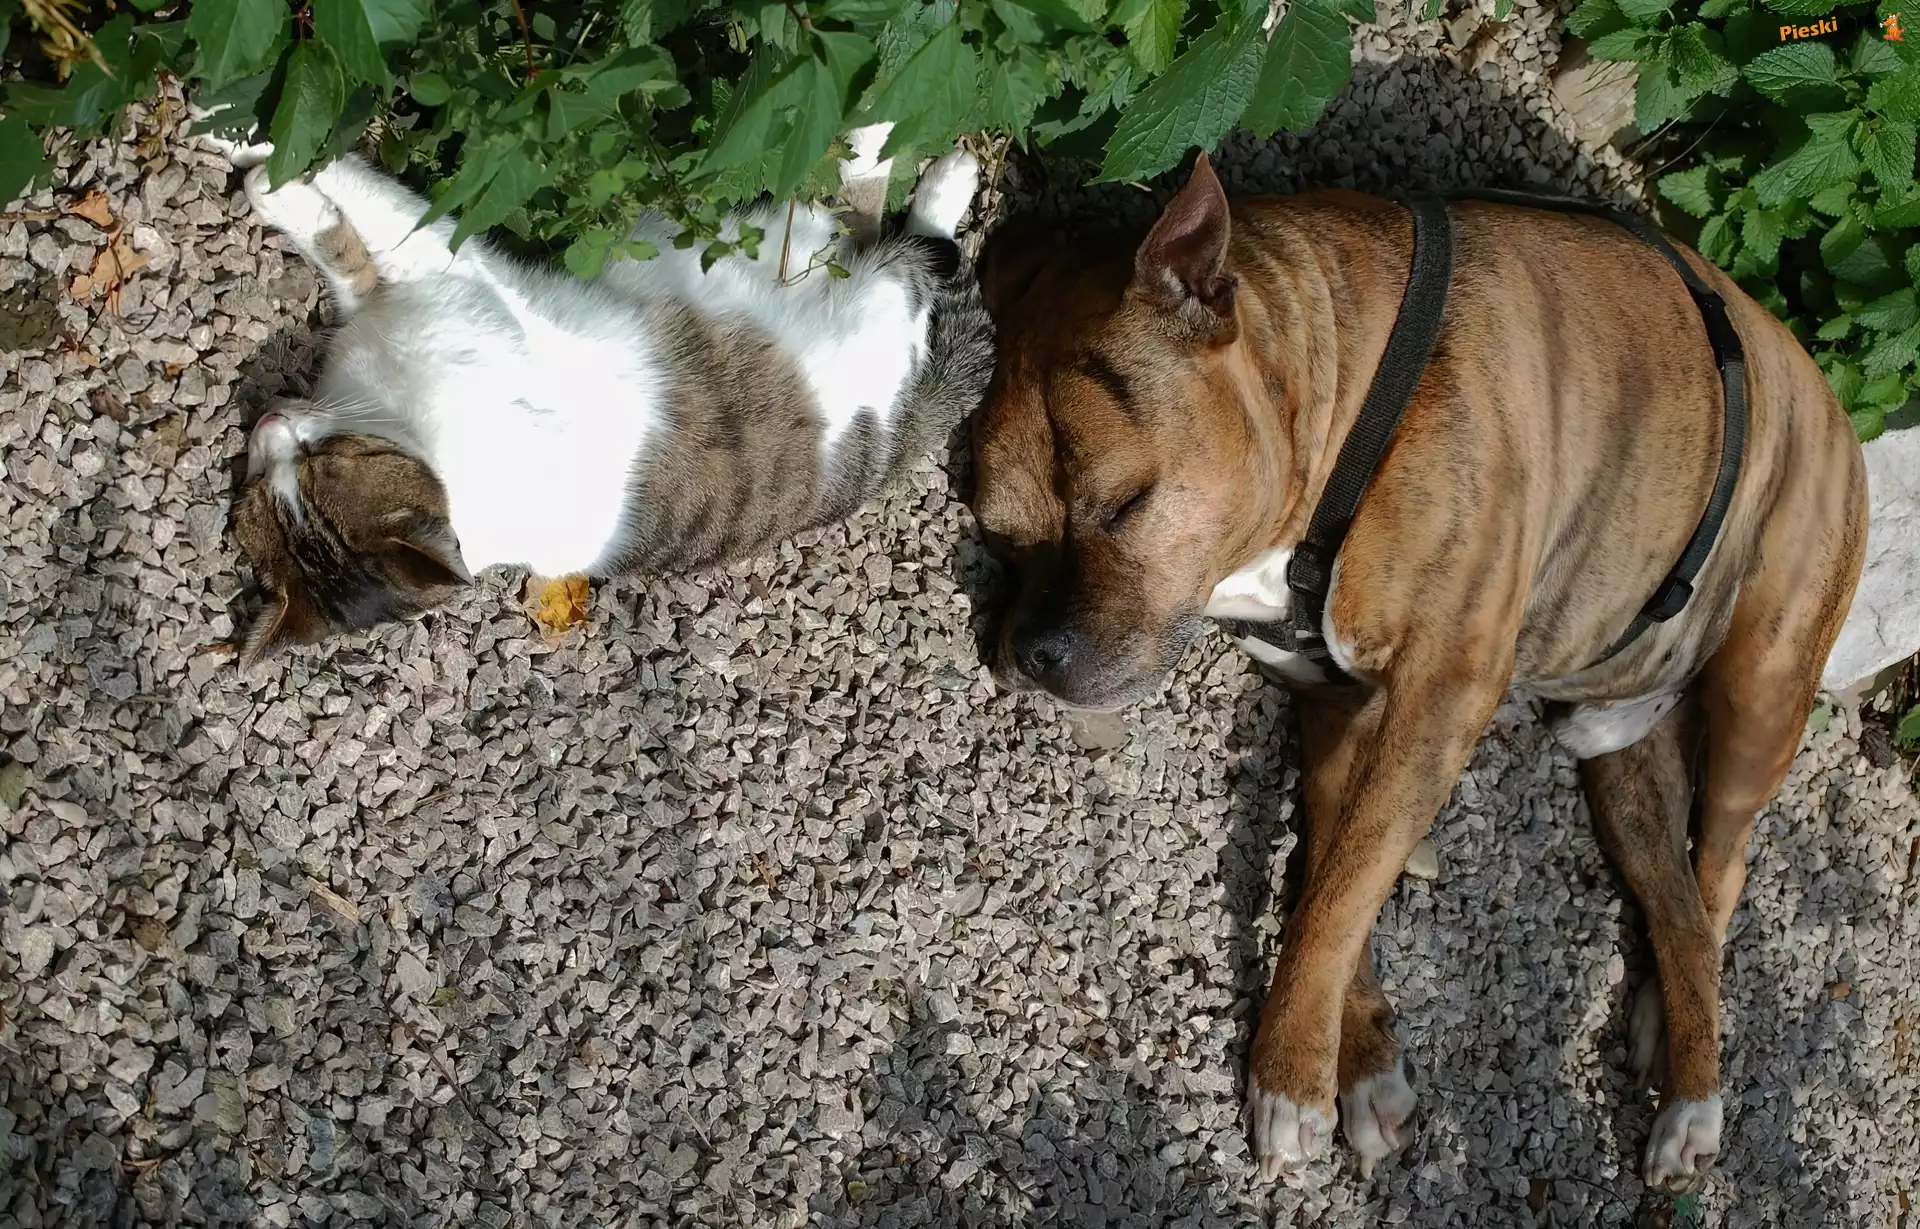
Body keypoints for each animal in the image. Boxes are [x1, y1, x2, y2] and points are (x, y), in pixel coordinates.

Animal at [204, 123, 993, 663]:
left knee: (884, 224)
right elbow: (349, 237)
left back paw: (920, 159)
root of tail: (904, 435)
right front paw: (264, 168)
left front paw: (252, 150)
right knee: (892, 236)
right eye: (258, 495)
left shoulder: (442, 268)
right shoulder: (417, 285)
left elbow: (359, 209)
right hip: (879, 287)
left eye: (321, 464)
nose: (267, 424)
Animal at [968, 153, 1867, 1192]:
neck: (1345, 407)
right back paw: (1671, 1017)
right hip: (1622, 760)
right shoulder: (1337, 705)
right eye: (997, 529)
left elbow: (1344, 884)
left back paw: (1693, 1099)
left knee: (1726, 861)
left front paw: (1287, 1080)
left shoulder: (1439, 696)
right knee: (1677, 895)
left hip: (1766, 691)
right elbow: (1334, 873)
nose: (1035, 654)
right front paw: (1357, 1065)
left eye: (1126, 503)